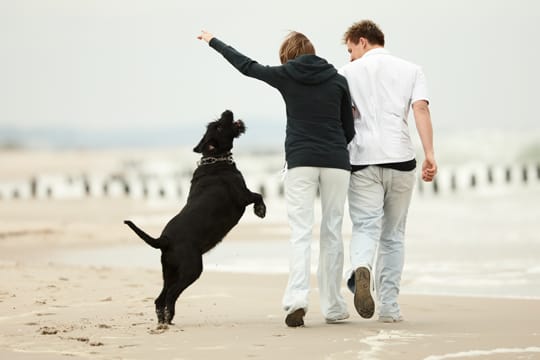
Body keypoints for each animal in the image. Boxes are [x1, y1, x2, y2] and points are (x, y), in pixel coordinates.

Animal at [124, 109, 264, 326]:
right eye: (219, 126)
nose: (227, 111)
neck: (215, 158)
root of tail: (164, 240)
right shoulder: (242, 195)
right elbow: (258, 195)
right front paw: (261, 210)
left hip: (170, 271)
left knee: (160, 298)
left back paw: (164, 320)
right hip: (192, 269)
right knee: (171, 294)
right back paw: (169, 317)